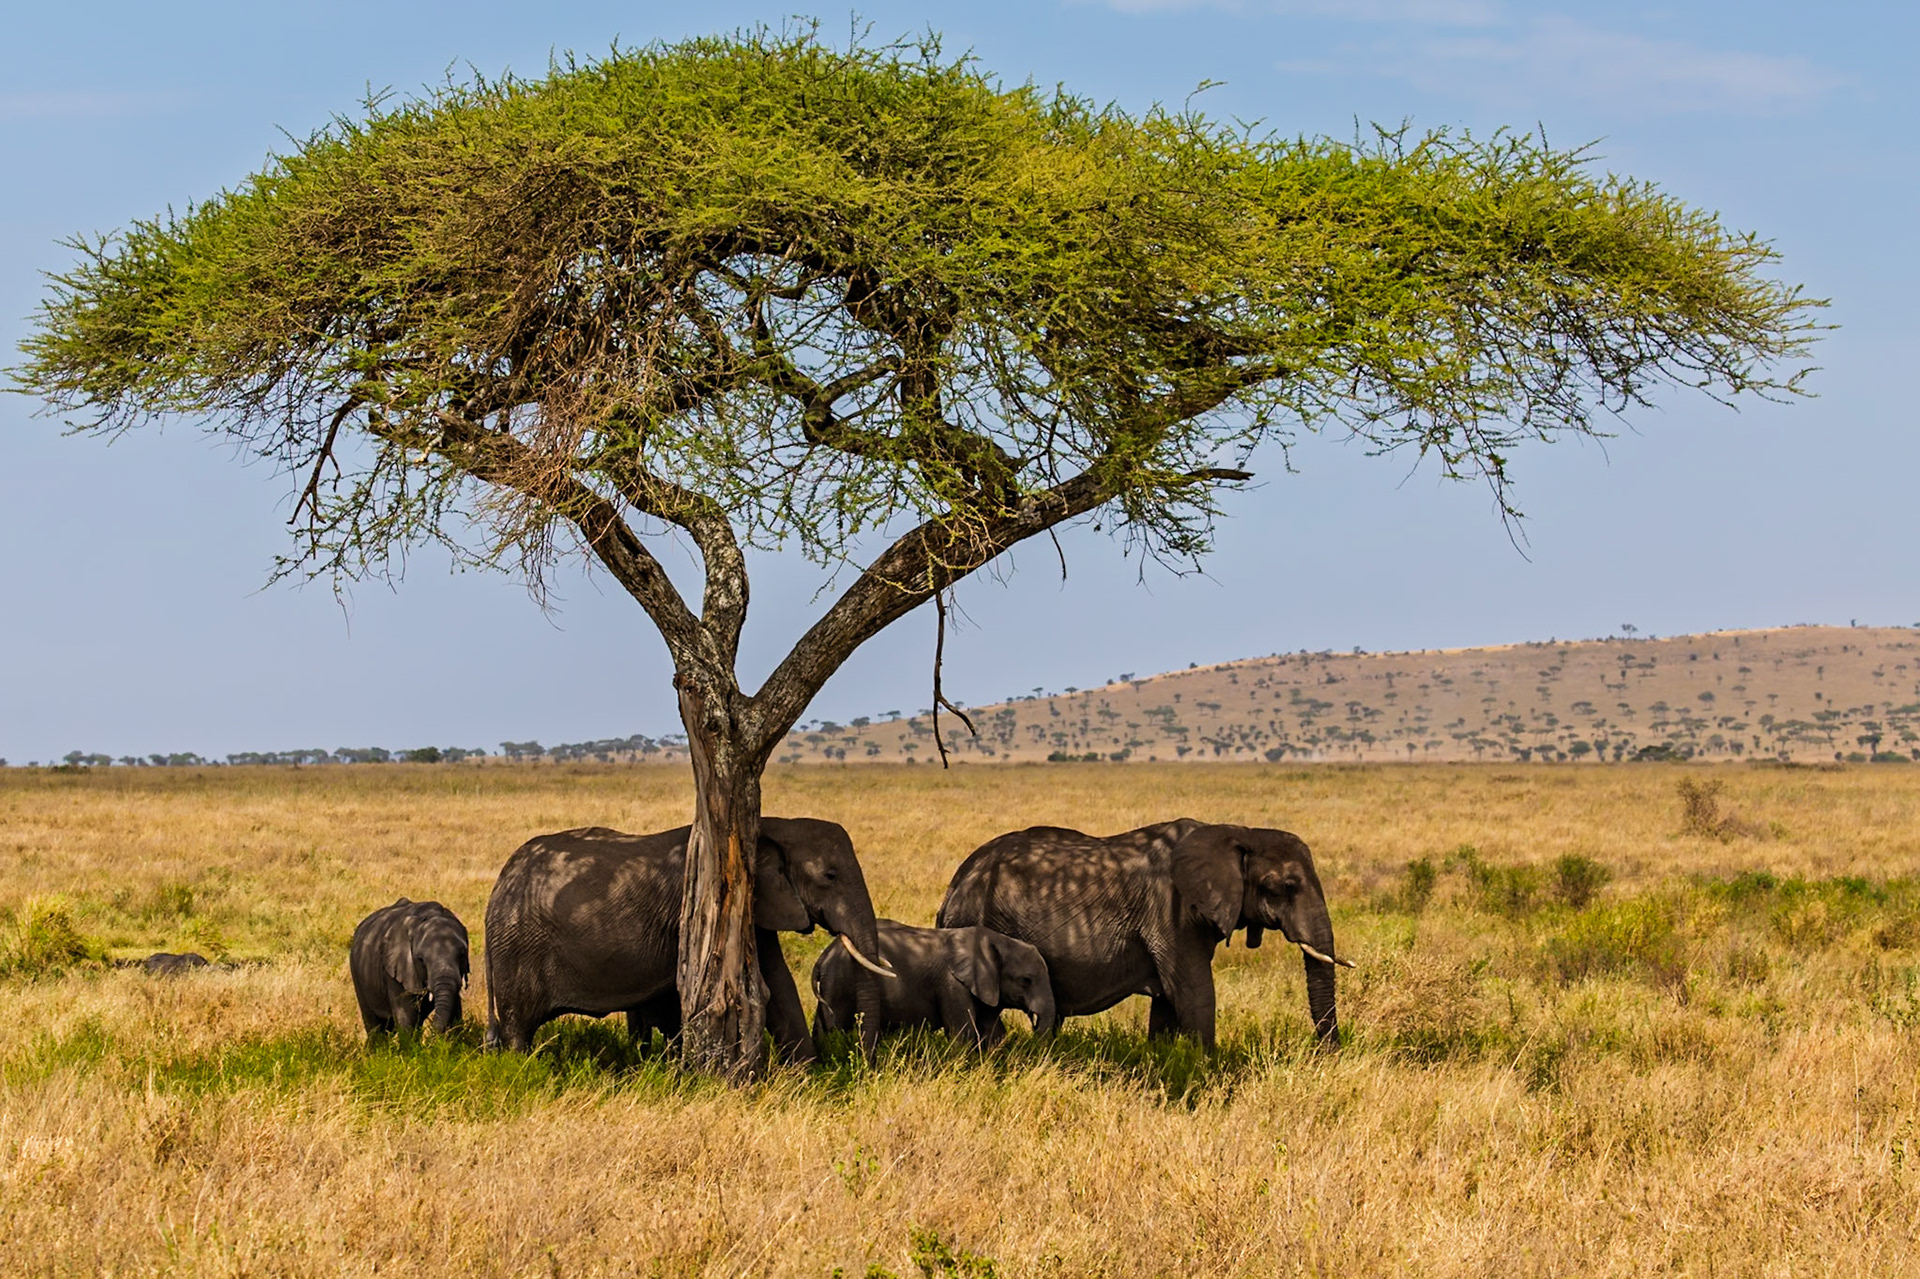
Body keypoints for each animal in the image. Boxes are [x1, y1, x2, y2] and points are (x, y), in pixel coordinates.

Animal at [349, 898, 470, 1038]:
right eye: (421, 959)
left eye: (462, 955)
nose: (431, 1036)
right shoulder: (395, 969)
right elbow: (407, 1016)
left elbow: (456, 1012)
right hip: (357, 974)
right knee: (375, 1025)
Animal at [482, 817, 895, 1059]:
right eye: (829, 876)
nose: (864, 1063)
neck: (772, 824)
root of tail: (500, 883)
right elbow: (772, 985)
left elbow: (779, 985)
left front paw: (806, 1078)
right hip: (516, 947)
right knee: (518, 1027)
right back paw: (523, 1067)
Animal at [811, 919, 1057, 1052]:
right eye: (1026, 980)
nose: (1035, 1027)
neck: (997, 941)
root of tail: (823, 956)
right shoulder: (952, 984)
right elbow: (963, 1034)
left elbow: (992, 1032)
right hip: (839, 983)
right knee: (834, 1026)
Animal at [936, 819, 1350, 1047]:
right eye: (1283, 887)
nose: (1326, 1056)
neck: (1236, 832)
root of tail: (954, 885)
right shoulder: (1170, 909)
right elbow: (1194, 995)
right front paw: (1207, 1070)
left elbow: (1168, 1002)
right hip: (976, 920)